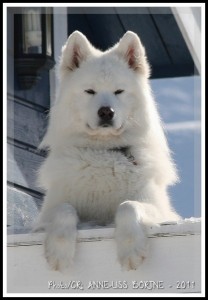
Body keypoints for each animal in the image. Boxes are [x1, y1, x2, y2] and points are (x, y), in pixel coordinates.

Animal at [35, 31, 180, 272]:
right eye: (90, 91)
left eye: (118, 91)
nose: (106, 112)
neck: (103, 152)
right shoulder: (47, 211)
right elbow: (64, 209)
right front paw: (59, 251)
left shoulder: (157, 208)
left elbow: (128, 206)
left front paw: (131, 250)